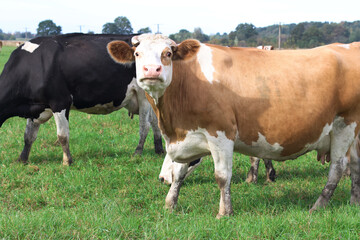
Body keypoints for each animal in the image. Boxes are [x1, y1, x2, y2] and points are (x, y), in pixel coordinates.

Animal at [0, 33, 163, 165]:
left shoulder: (60, 102)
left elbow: (62, 135)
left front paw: (67, 161)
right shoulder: (36, 106)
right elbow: (28, 135)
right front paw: (22, 159)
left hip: (143, 95)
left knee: (144, 125)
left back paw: (137, 152)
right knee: (156, 121)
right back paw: (159, 149)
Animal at [107, 33, 360, 218]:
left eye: (167, 53)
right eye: (137, 54)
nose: (152, 70)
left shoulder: (221, 134)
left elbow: (222, 176)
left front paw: (224, 212)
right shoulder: (187, 134)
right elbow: (179, 172)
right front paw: (170, 205)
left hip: (344, 124)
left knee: (338, 167)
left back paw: (318, 206)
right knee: (356, 164)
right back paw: (354, 201)